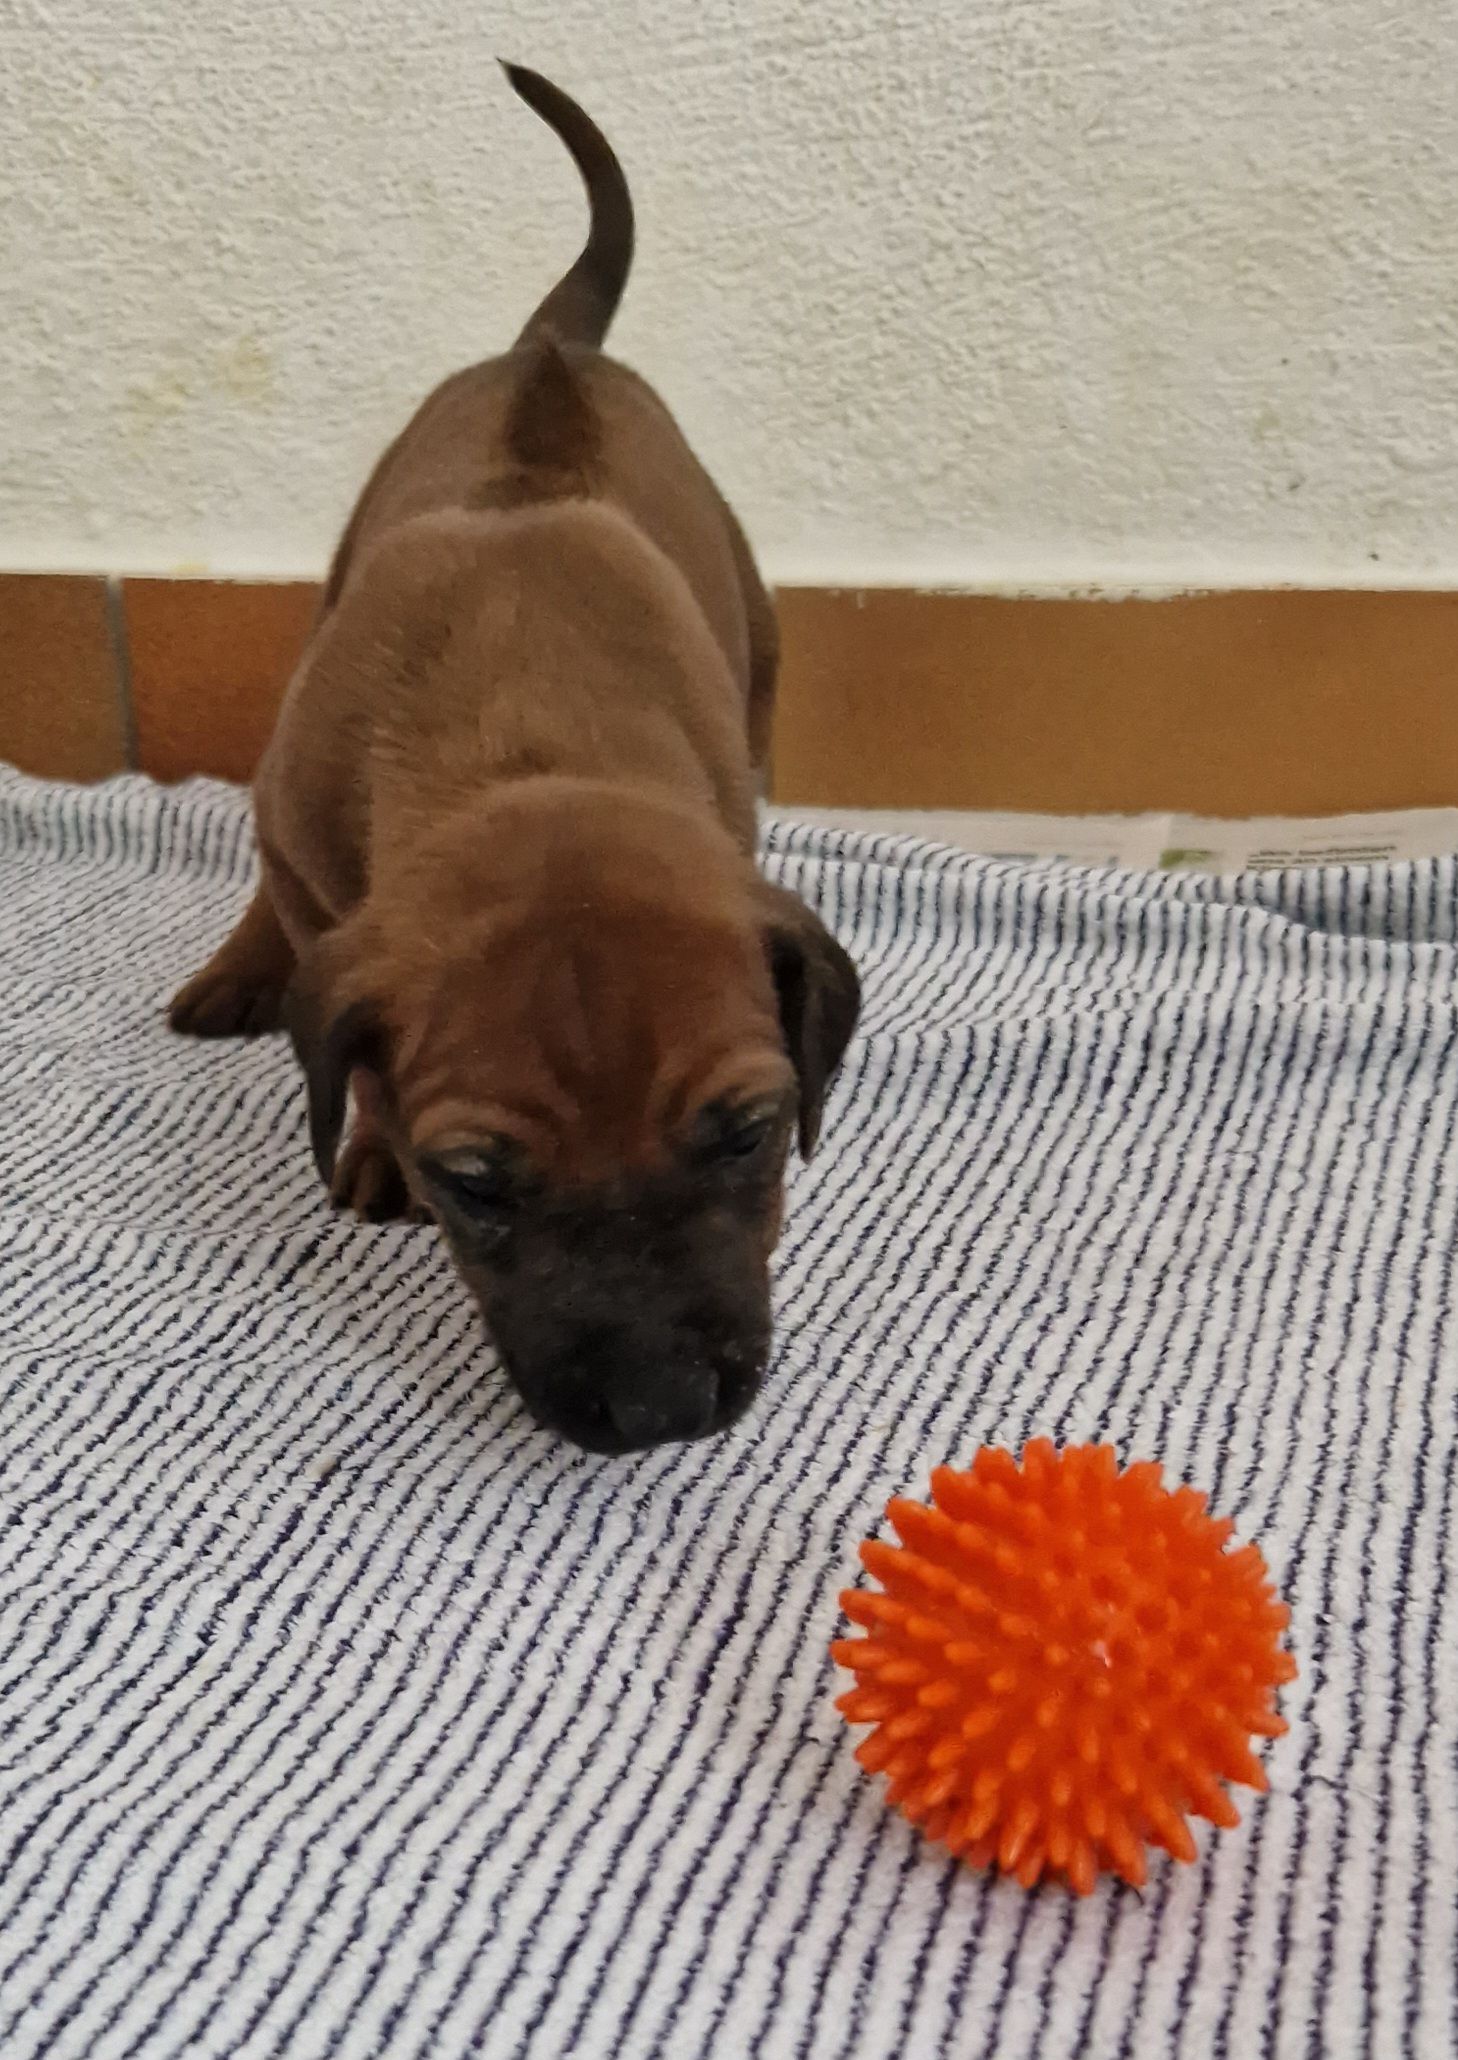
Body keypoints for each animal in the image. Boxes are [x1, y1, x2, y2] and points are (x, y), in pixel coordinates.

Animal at [169, 64, 860, 1454]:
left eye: (751, 1133)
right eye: (475, 1182)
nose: (657, 1407)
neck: (525, 746)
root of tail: (557, 346)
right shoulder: (306, 853)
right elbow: (348, 1036)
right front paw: (370, 1140)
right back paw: (239, 972)